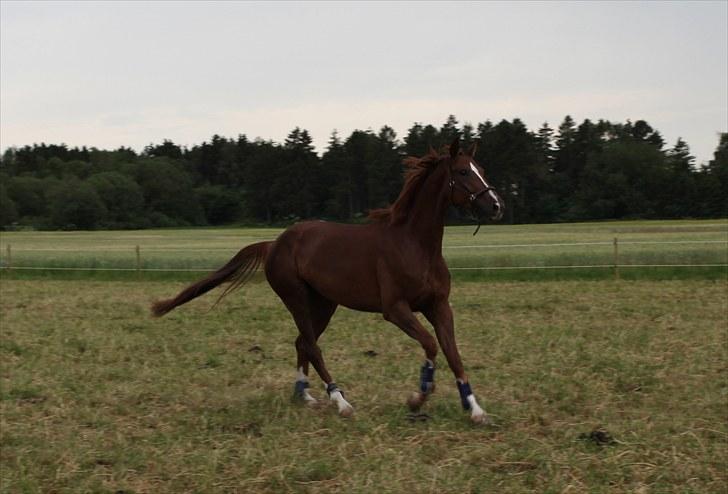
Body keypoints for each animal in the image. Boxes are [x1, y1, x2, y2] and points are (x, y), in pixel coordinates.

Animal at [152, 139, 506, 424]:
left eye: (481, 168)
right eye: (462, 172)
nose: (495, 205)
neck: (416, 245)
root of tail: (274, 243)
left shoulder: (439, 306)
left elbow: (453, 352)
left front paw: (475, 409)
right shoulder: (395, 309)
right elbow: (431, 345)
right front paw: (418, 397)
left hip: (323, 303)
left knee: (302, 343)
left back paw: (304, 395)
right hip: (296, 297)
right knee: (311, 344)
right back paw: (340, 401)